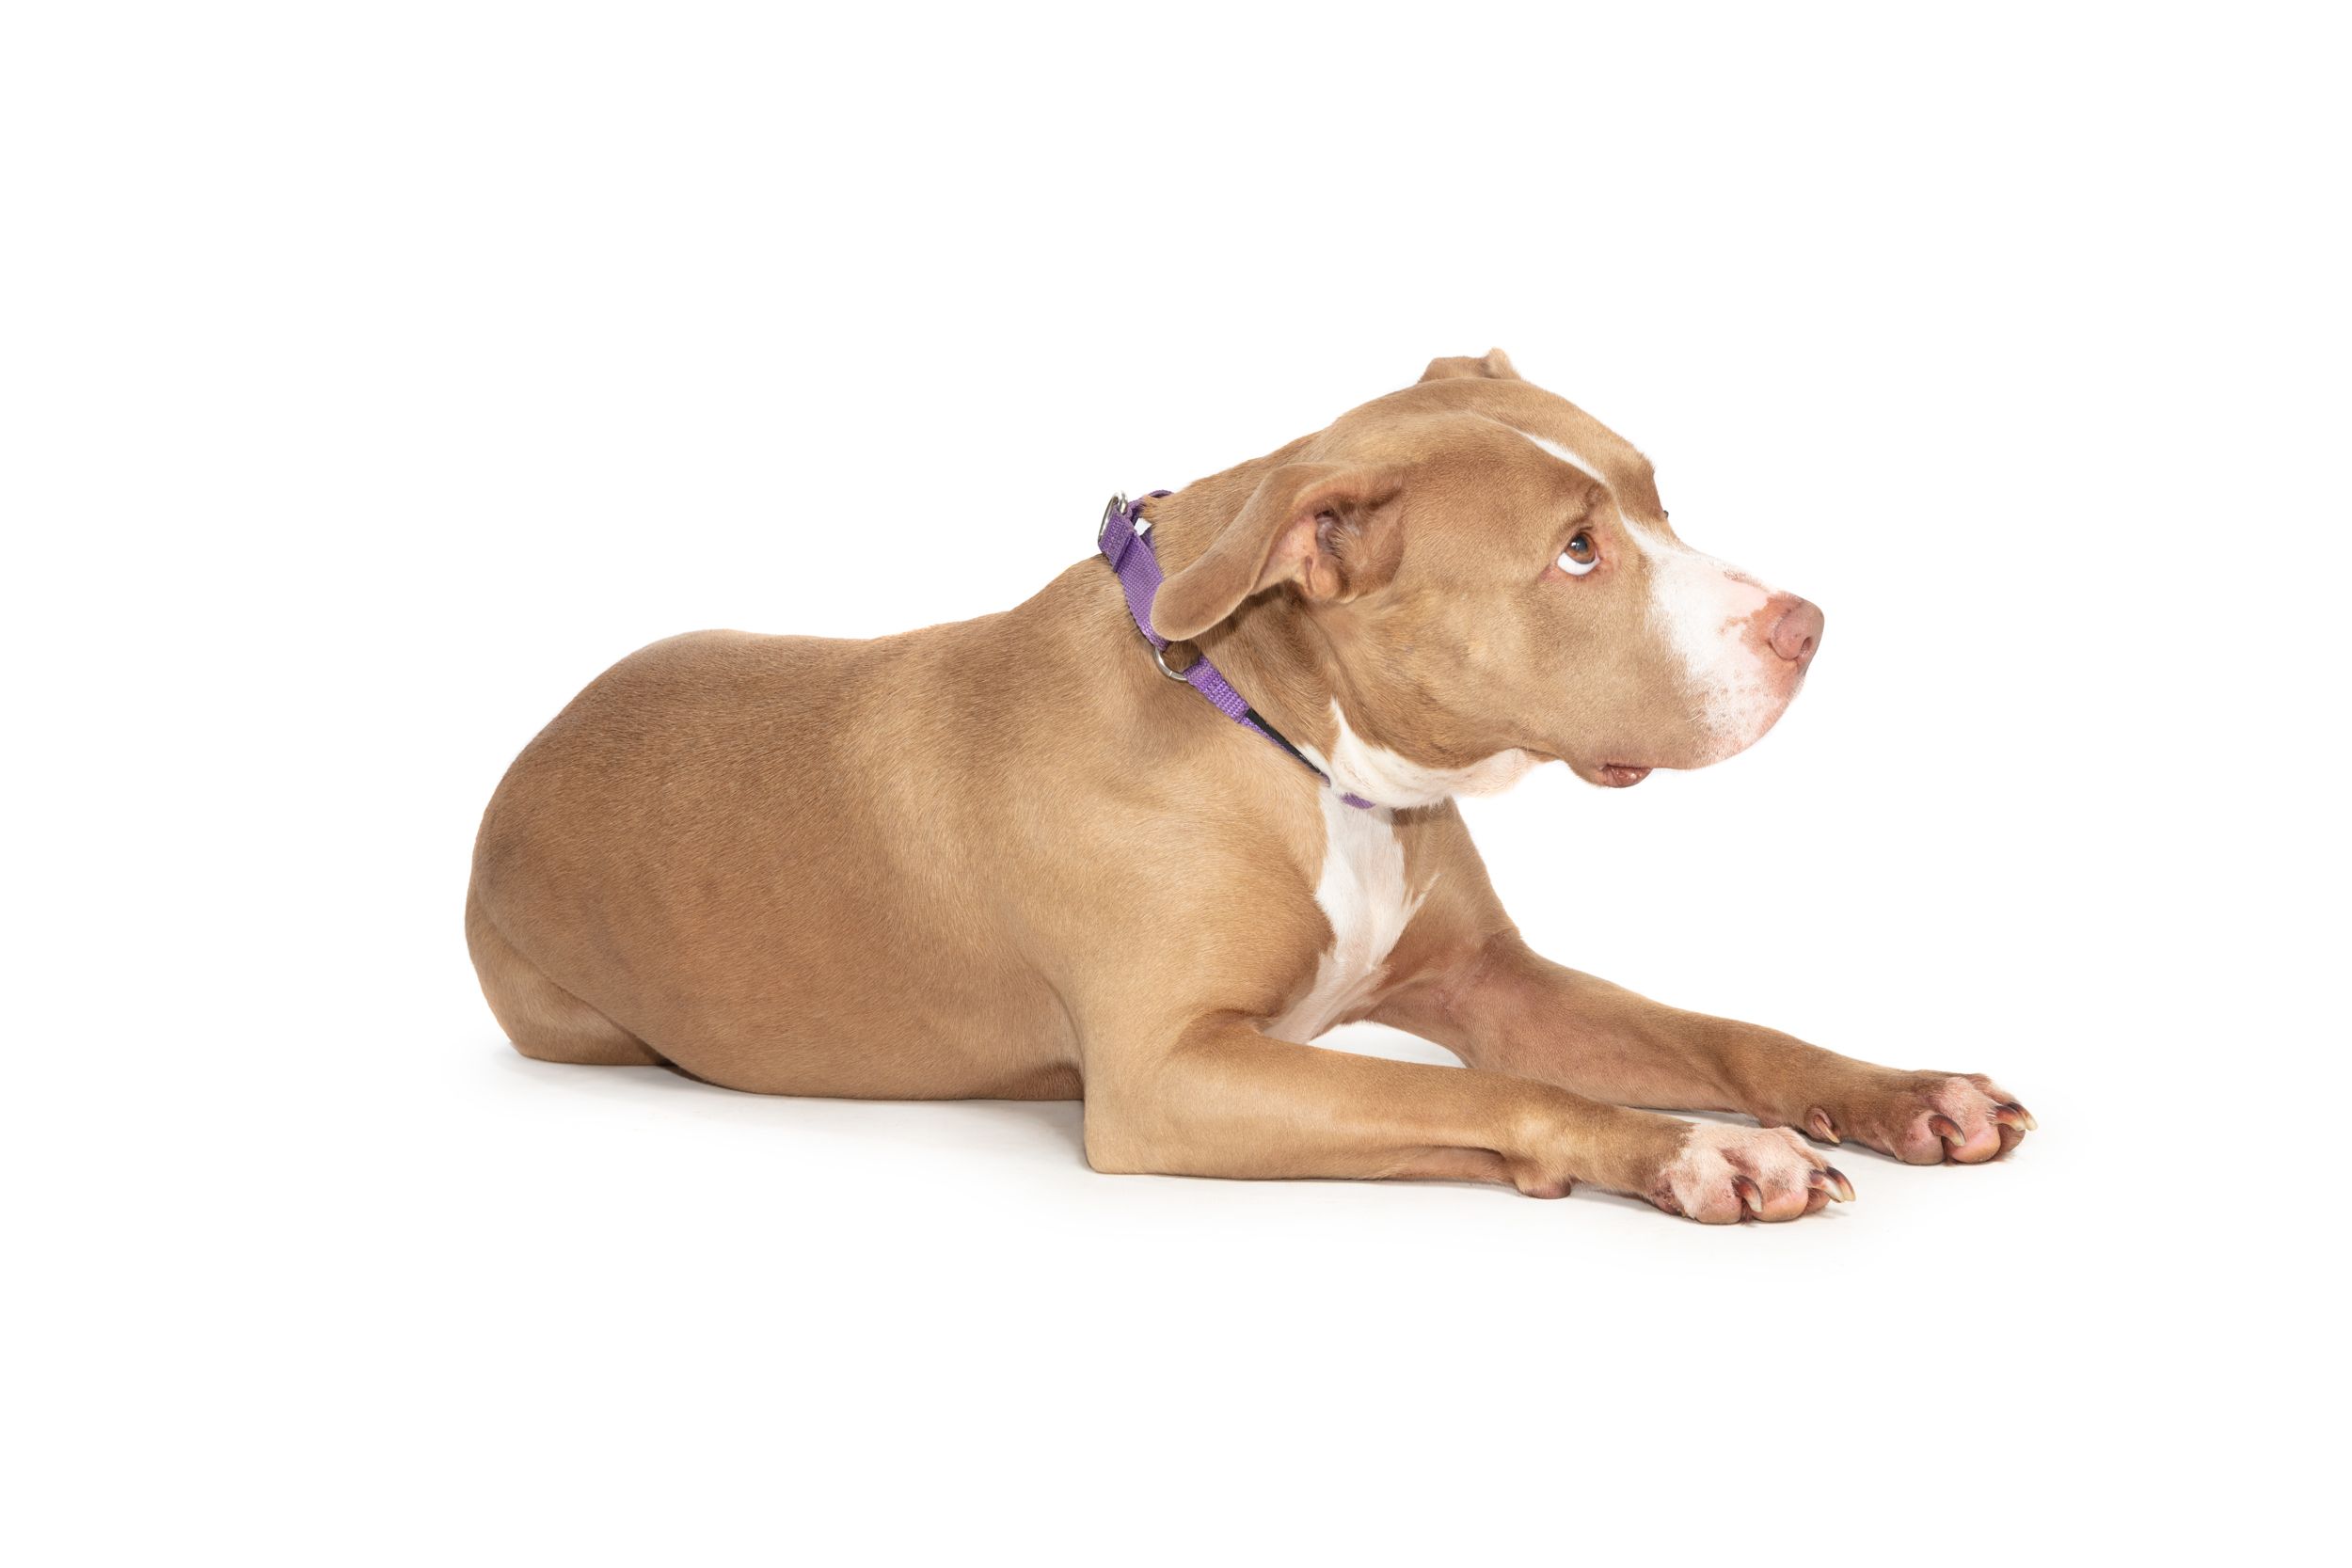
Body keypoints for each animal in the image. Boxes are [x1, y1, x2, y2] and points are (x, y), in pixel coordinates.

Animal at [467, 349, 2032, 1222]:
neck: (1299, 747)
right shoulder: (1172, 1078)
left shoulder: (1490, 977)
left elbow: (1719, 1031)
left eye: (1657, 495)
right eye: (1576, 551)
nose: (1807, 624)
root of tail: (519, 758)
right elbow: (1500, 1095)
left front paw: (1900, 1092)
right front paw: (1696, 1154)